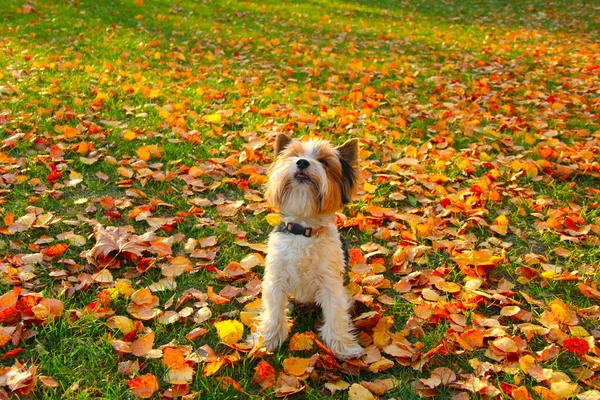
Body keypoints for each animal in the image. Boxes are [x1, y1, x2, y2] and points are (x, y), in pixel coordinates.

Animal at [250, 134, 364, 360]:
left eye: (325, 162)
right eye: (294, 155)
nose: (302, 162)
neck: (303, 229)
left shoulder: (330, 282)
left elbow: (335, 314)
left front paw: (343, 346)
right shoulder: (276, 278)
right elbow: (274, 311)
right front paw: (267, 340)